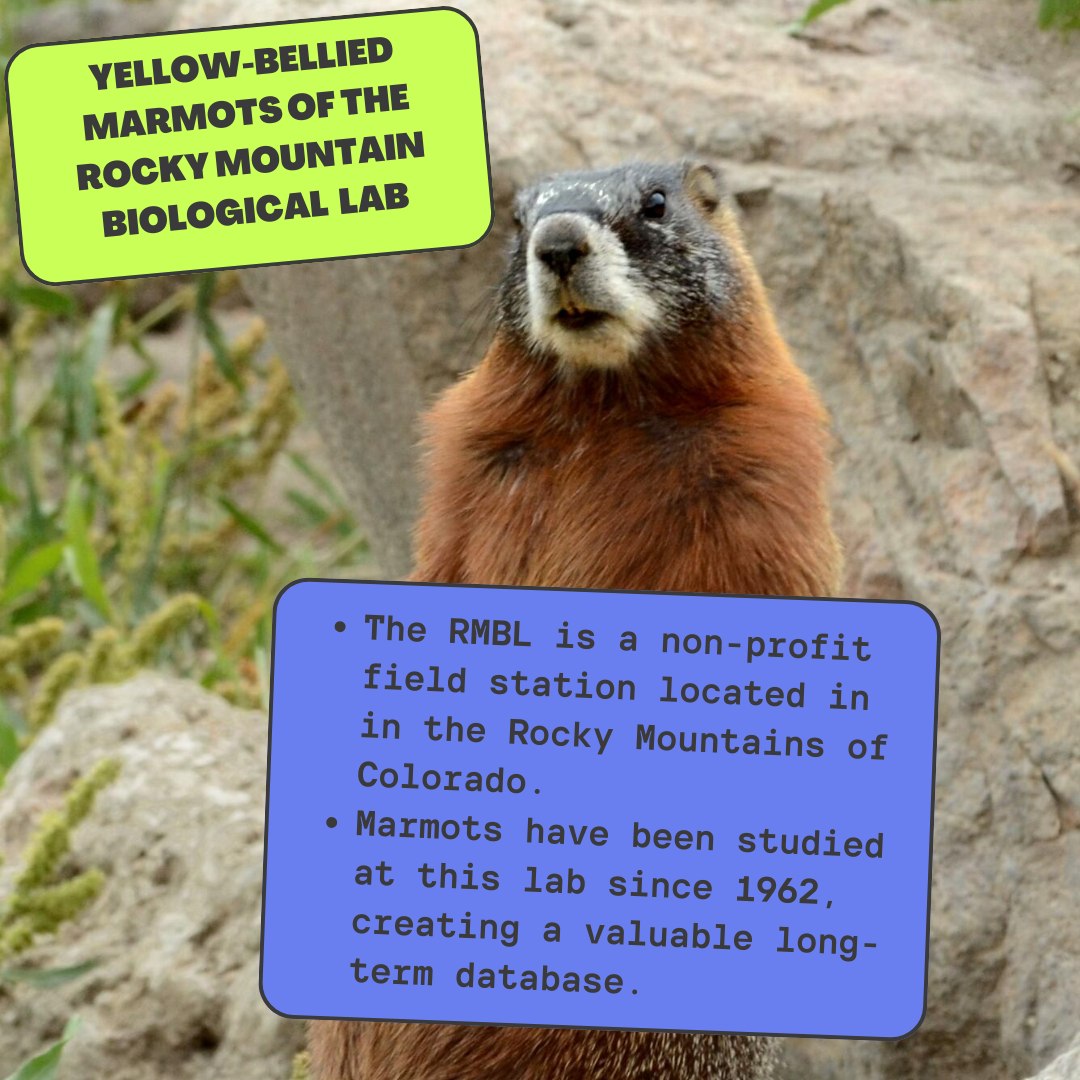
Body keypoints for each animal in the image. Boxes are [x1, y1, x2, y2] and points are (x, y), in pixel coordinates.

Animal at [309, 160, 841, 1079]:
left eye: (657, 203)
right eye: (517, 220)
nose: (556, 242)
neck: (604, 405)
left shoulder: (761, 477)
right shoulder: (470, 462)